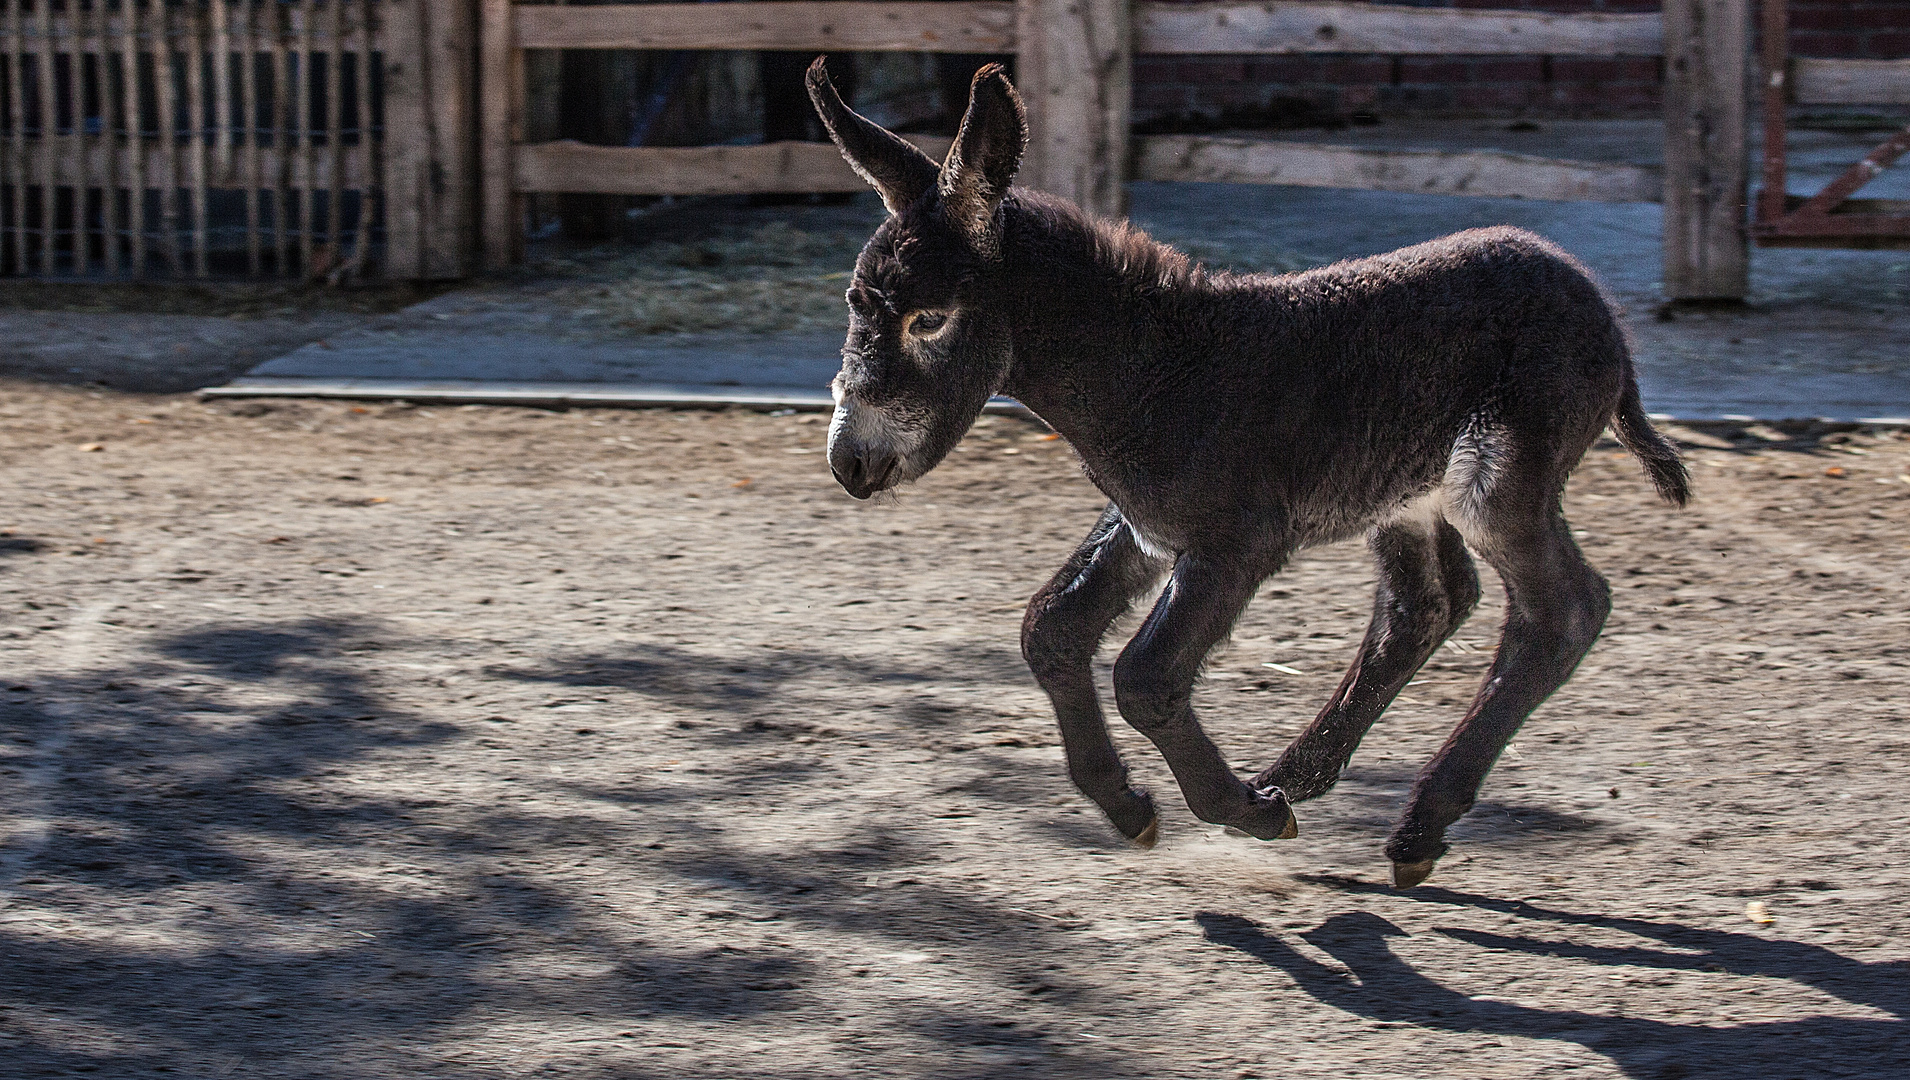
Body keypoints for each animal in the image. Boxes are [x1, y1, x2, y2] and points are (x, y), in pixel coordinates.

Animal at [806, 59, 1688, 883]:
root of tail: (1598, 305)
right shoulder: (1149, 527)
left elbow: (1145, 676)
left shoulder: (1238, 542)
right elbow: (1049, 629)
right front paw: (1129, 807)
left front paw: (1238, 812)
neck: (1153, 368)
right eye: (854, 308)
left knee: (1564, 612)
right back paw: (1303, 777)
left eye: (929, 321)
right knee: (1426, 606)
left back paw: (1411, 823)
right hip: (1407, 492)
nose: (849, 463)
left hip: (1501, 479)